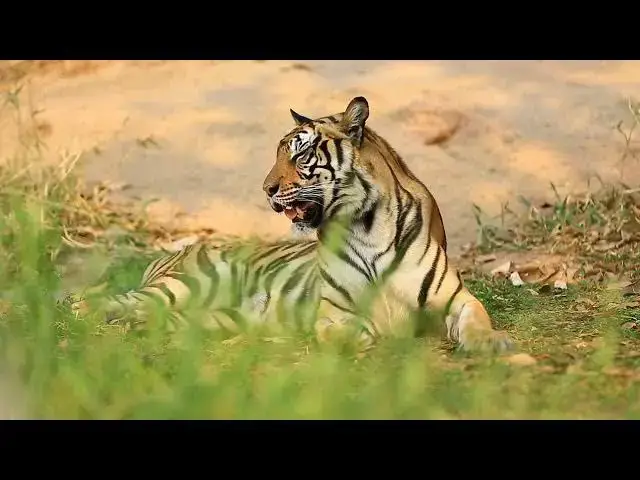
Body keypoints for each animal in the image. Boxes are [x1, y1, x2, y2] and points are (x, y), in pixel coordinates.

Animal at [72, 96, 513, 354]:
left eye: (300, 155)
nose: (266, 189)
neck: (366, 224)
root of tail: (177, 250)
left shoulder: (456, 298)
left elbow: (477, 319)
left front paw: (493, 343)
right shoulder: (332, 312)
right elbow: (349, 329)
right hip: (183, 285)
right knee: (103, 300)